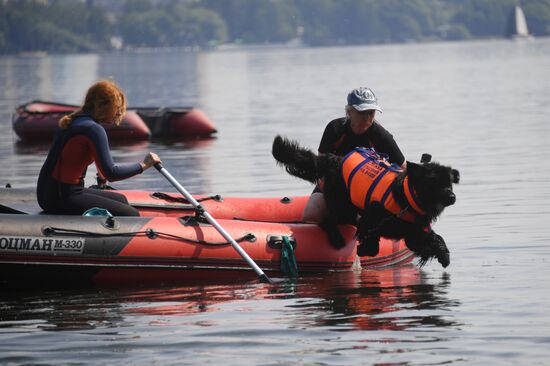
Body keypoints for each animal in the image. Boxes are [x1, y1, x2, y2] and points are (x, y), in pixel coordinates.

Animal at [272, 136, 462, 268]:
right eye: (434, 183)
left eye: (449, 183)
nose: (452, 197)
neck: (406, 199)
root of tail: (336, 159)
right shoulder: (374, 216)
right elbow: (371, 242)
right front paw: (363, 249)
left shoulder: (413, 232)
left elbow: (434, 239)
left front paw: (444, 256)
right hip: (341, 203)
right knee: (327, 219)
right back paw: (336, 238)